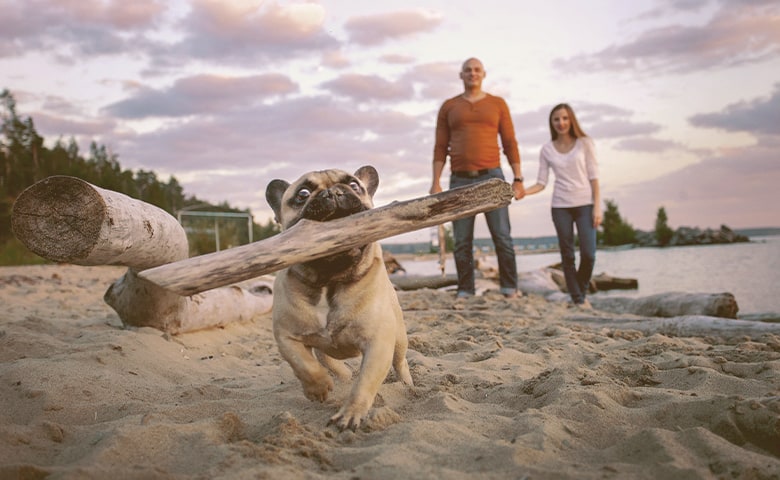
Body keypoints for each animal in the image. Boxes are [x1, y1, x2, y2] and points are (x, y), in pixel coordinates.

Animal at [266, 166, 414, 432]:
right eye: (303, 193)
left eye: (355, 186)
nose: (333, 192)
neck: (330, 279)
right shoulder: (286, 336)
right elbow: (303, 363)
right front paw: (318, 388)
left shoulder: (378, 344)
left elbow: (364, 383)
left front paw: (351, 414)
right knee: (328, 360)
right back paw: (341, 375)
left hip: (398, 339)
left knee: (400, 362)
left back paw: (407, 384)